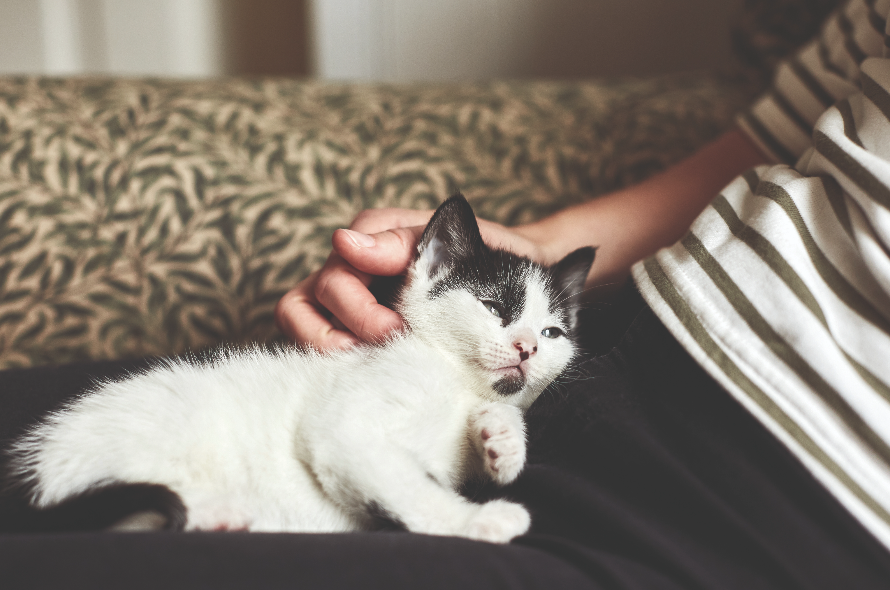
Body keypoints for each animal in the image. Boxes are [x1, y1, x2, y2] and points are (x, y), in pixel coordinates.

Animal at [6, 195, 592, 544]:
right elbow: (411, 487)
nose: (526, 349)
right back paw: (213, 512)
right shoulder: (347, 431)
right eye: (495, 307)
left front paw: (501, 440)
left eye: (552, 333)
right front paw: (476, 519)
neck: (454, 382)